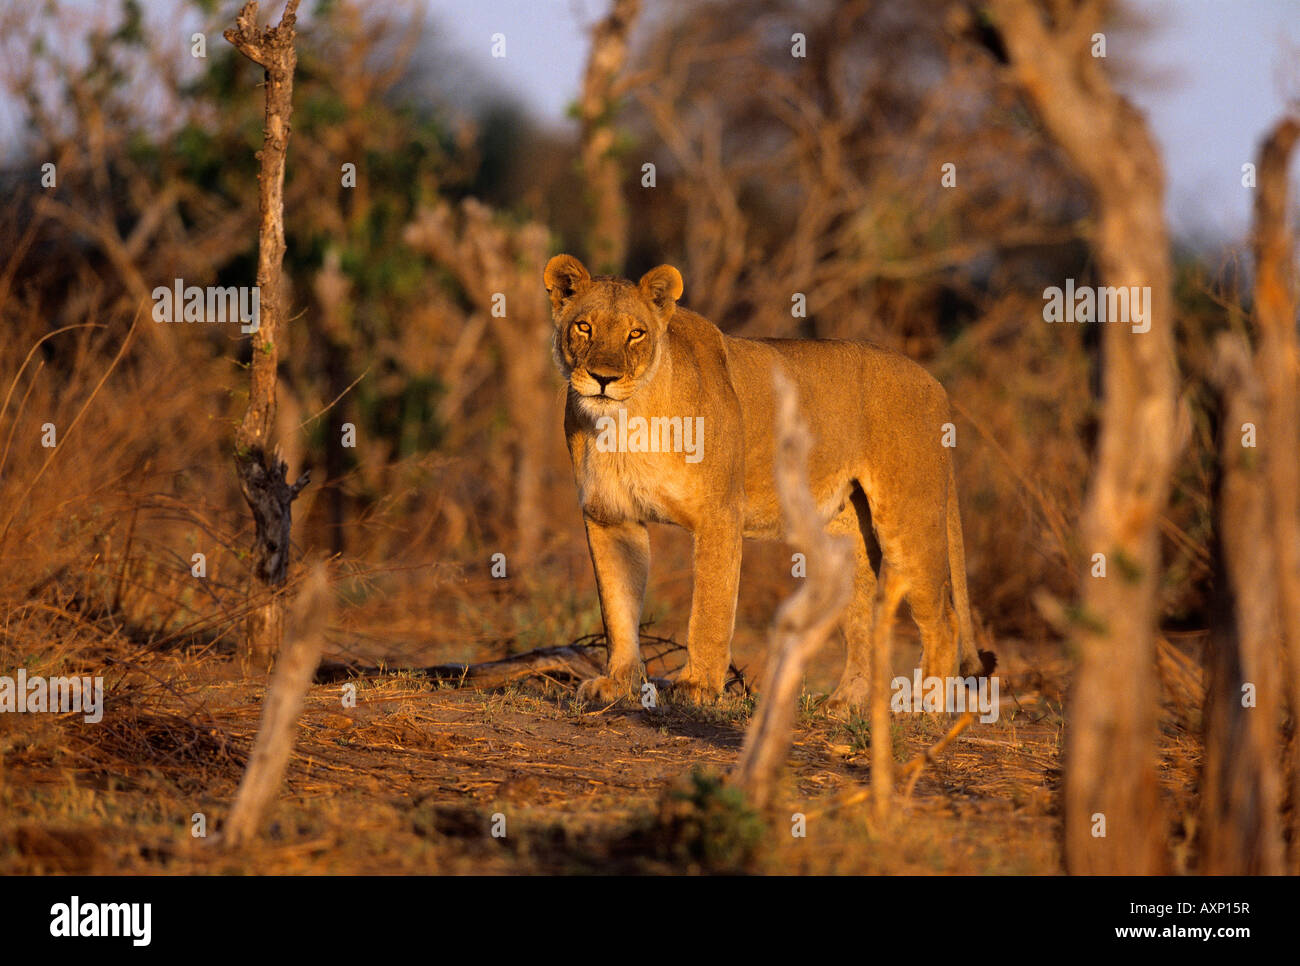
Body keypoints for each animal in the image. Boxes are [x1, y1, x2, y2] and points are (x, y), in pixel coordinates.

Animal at [544, 254, 995, 712]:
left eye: (636, 333)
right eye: (584, 327)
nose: (604, 378)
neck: (623, 424)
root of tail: (934, 382)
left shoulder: (719, 514)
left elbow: (711, 608)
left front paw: (697, 687)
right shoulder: (610, 517)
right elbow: (618, 608)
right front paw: (617, 683)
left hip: (908, 520)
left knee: (944, 619)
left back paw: (927, 706)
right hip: (848, 535)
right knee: (864, 622)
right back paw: (844, 704)